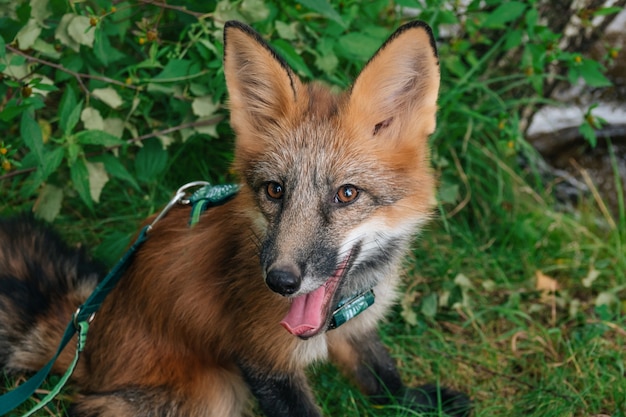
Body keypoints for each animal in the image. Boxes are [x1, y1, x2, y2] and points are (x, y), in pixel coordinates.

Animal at [0, 20, 468, 416]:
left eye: (346, 194)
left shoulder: (356, 328)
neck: (341, 307)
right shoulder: (262, 360)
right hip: (216, 390)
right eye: (275, 190)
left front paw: (419, 402)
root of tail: (89, 341)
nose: (280, 281)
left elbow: (382, 377)